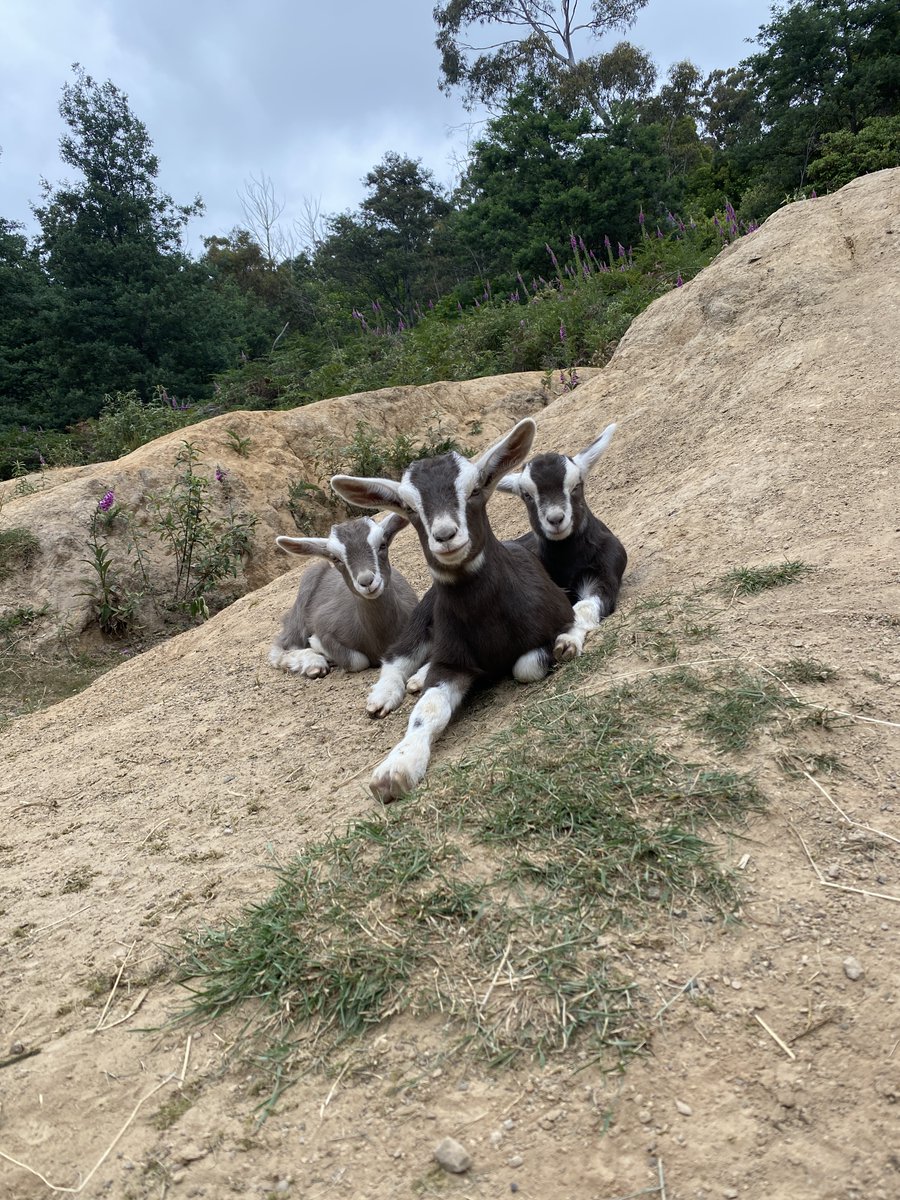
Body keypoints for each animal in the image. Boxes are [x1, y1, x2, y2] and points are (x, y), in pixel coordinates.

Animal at [268, 513, 416, 678]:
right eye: (335, 558)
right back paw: (314, 665)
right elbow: (358, 661)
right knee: (281, 648)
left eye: (382, 545)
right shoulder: (323, 626)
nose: (366, 581)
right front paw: (317, 644)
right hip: (300, 611)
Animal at [330, 418, 580, 801]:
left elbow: (527, 664)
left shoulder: (559, 615)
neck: (487, 617)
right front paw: (395, 769)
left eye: (475, 489)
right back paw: (385, 695)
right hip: (422, 617)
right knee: (395, 658)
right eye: (410, 508)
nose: (445, 535)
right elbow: (427, 711)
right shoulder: (451, 661)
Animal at [496, 423, 627, 659]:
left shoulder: (604, 575)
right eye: (527, 495)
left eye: (575, 486)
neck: (567, 562)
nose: (556, 519)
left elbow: (583, 607)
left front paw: (567, 642)